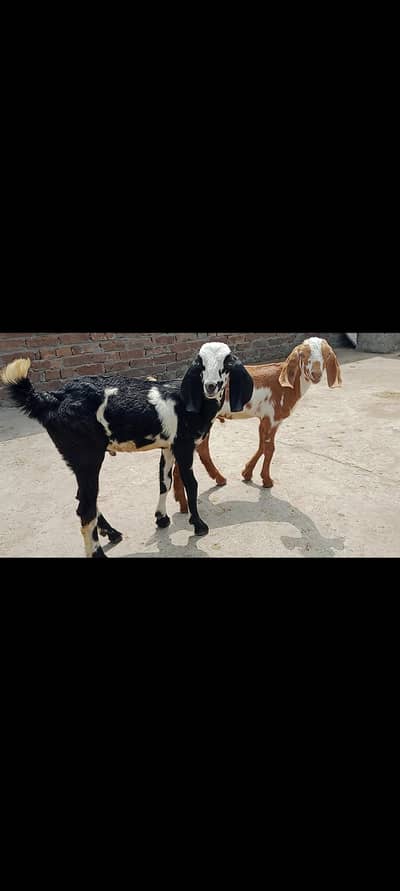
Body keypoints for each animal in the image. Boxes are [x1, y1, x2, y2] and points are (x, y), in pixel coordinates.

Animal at [1, 343, 253, 557]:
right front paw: (199, 525)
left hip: (76, 458)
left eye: (227, 363)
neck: (189, 402)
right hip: (87, 456)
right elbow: (191, 484)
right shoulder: (184, 445)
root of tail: (52, 398)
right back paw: (97, 552)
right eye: (200, 364)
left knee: (83, 497)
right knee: (85, 508)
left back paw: (112, 533)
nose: (210, 386)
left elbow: (164, 480)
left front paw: (161, 518)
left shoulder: (168, 446)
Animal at [173, 337, 342, 512]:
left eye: (327, 354)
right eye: (302, 354)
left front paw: (247, 473)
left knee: (201, 449)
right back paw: (183, 502)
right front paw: (267, 481)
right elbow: (270, 449)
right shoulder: (272, 418)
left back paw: (216, 480)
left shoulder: (266, 420)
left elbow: (262, 445)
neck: (287, 384)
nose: (316, 374)